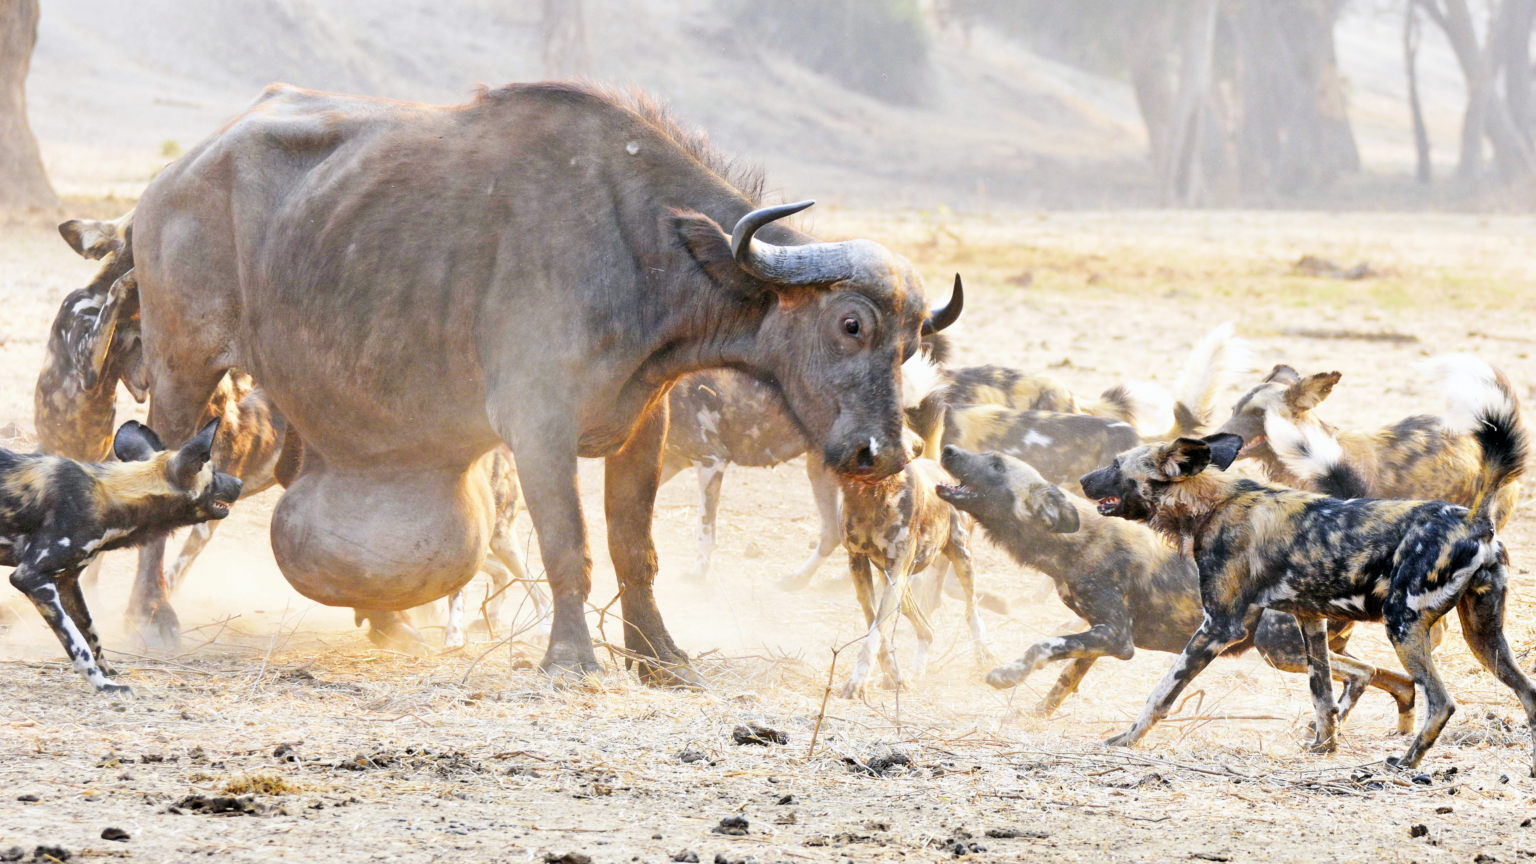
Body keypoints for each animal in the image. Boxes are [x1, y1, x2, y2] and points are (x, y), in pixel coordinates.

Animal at [1, 418, 241, 691]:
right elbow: (77, 644)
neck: (109, 497)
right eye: (213, 472)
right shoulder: (31, 577)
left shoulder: (67, 581)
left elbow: (91, 632)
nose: (239, 483)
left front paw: (107, 672)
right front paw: (103, 685)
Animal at [125, 84, 952, 682]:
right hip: (182, 367)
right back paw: (151, 617)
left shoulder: (644, 424)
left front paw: (658, 654)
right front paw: (573, 656)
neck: (640, 241)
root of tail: (173, 178)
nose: (882, 454)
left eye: (914, 339)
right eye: (851, 323)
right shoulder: (538, 428)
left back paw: (389, 623)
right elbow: (570, 547)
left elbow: (634, 548)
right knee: (164, 474)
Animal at [927, 442, 1419, 725]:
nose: (947, 448)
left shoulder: (1114, 636)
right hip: (1307, 648)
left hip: (1278, 648)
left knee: (1364, 673)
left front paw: (1006, 676)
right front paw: (1035, 715)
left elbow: (1043, 646)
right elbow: (1064, 678)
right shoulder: (1098, 634)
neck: (1069, 542)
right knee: (1389, 677)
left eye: (994, 465)